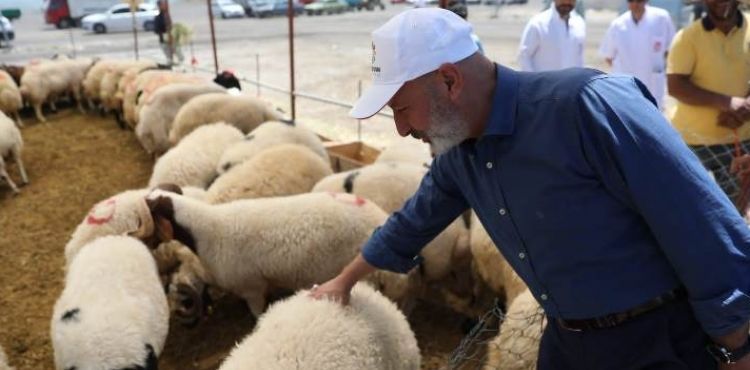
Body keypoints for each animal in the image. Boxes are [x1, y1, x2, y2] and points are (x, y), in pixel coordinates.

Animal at [131, 188, 408, 318]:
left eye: (150, 215)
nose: (141, 239)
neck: (207, 231)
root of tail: (378, 216)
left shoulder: (252, 288)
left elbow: (257, 314)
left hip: (371, 278)